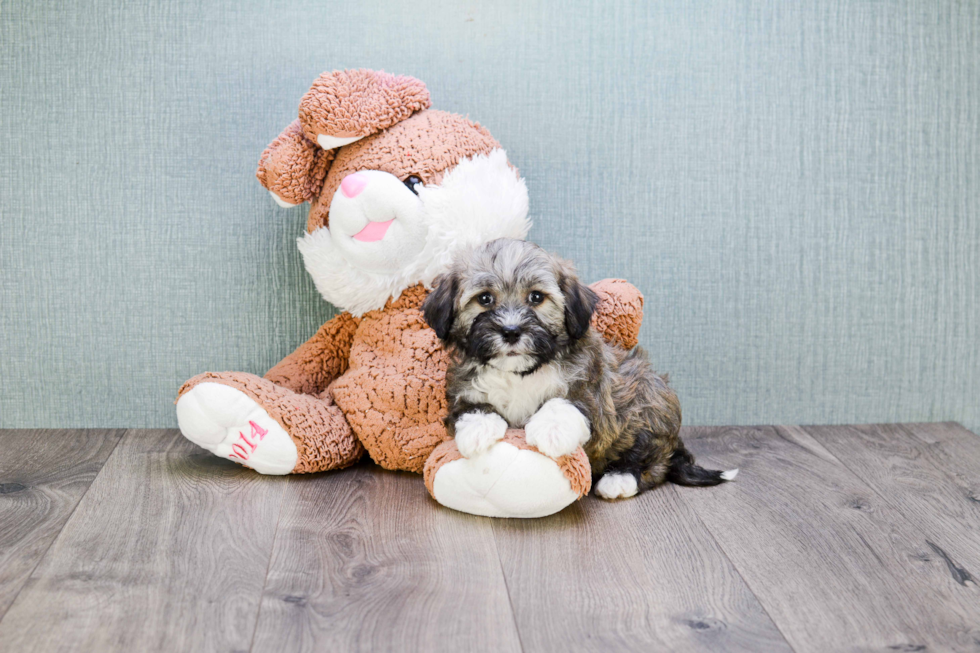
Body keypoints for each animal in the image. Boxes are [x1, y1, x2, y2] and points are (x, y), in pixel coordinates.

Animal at [422, 239, 736, 500]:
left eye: (536, 298)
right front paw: (478, 431)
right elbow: (473, 406)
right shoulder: (461, 390)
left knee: (654, 460)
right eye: (485, 298)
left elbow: (565, 403)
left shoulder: (593, 395)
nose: (511, 331)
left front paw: (551, 431)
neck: (520, 373)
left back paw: (620, 478)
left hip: (649, 402)